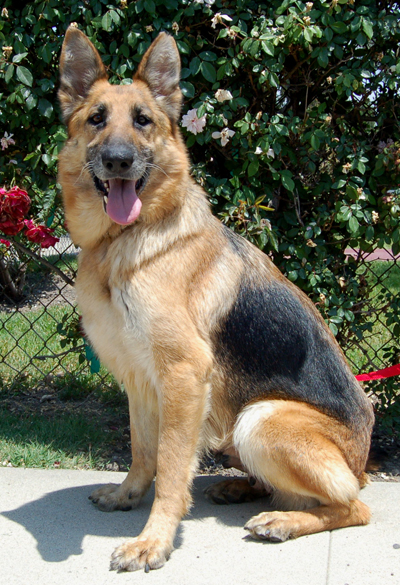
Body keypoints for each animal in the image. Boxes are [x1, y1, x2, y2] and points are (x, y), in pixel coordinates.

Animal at [57, 26, 374, 572]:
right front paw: (127, 495)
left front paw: (153, 541)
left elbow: (170, 465)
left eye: (142, 121)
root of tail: (362, 460)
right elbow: (143, 450)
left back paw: (283, 520)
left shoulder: (184, 373)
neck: (124, 240)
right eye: (96, 119)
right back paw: (241, 488)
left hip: (261, 419)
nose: (119, 160)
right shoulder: (140, 377)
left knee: (351, 505)